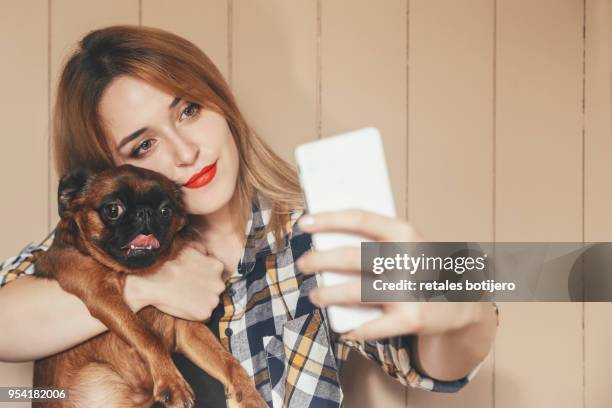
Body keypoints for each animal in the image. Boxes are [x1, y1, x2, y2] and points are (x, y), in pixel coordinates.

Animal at [29, 164, 266, 406]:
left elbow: (228, 361)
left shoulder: (188, 330)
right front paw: (172, 382)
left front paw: (250, 397)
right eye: (113, 210)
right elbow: (148, 336)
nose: (144, 212)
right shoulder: (101, 294)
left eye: (165, 211)